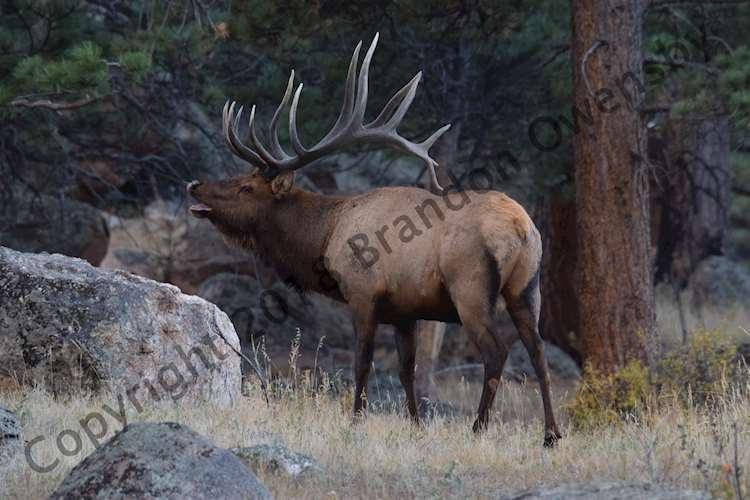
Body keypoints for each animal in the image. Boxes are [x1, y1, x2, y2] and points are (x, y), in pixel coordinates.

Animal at [189, 34, 560, 446]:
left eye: (246, 187)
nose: (195, 184)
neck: (325, 236)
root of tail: (521, 228)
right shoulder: (405, 311)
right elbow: (406, 369)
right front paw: (415, 425)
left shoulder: (363, 293)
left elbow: (362, 363)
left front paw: (355, 421)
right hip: (527, 288)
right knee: (538, 351)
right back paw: (551, 434)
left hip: (471, 288)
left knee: (496, 353)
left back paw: (478, 428)